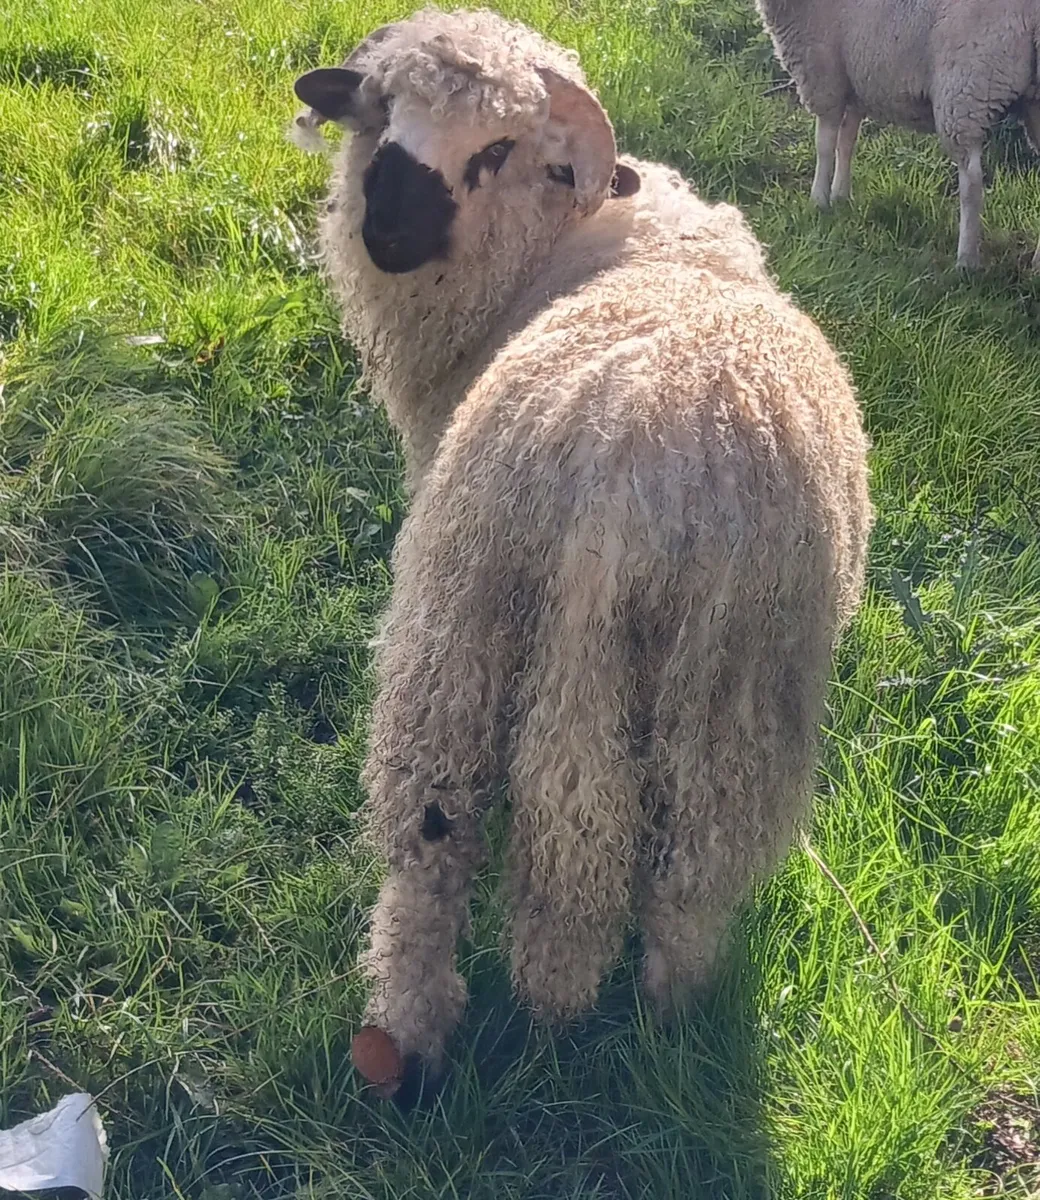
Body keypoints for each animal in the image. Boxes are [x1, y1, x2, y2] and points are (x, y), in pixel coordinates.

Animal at [290, 6, 874, 1078]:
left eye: (497, 150)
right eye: (383, 113)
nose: (385, 232)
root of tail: (636, 466)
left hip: (473, 613)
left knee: (450, 841)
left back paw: (439, 1032)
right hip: (717, 681)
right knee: (677, 864)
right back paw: (653, 1022)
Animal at [754, 0, 1040, 272]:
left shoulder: (824, 76)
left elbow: (824, 145)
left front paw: (818, 202)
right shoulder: (856, 83)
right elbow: (846, 142)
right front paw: (840, 196)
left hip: (965, 90)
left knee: (971, 182)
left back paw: (966, 260)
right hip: (1031, 101)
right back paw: (1035, 262)